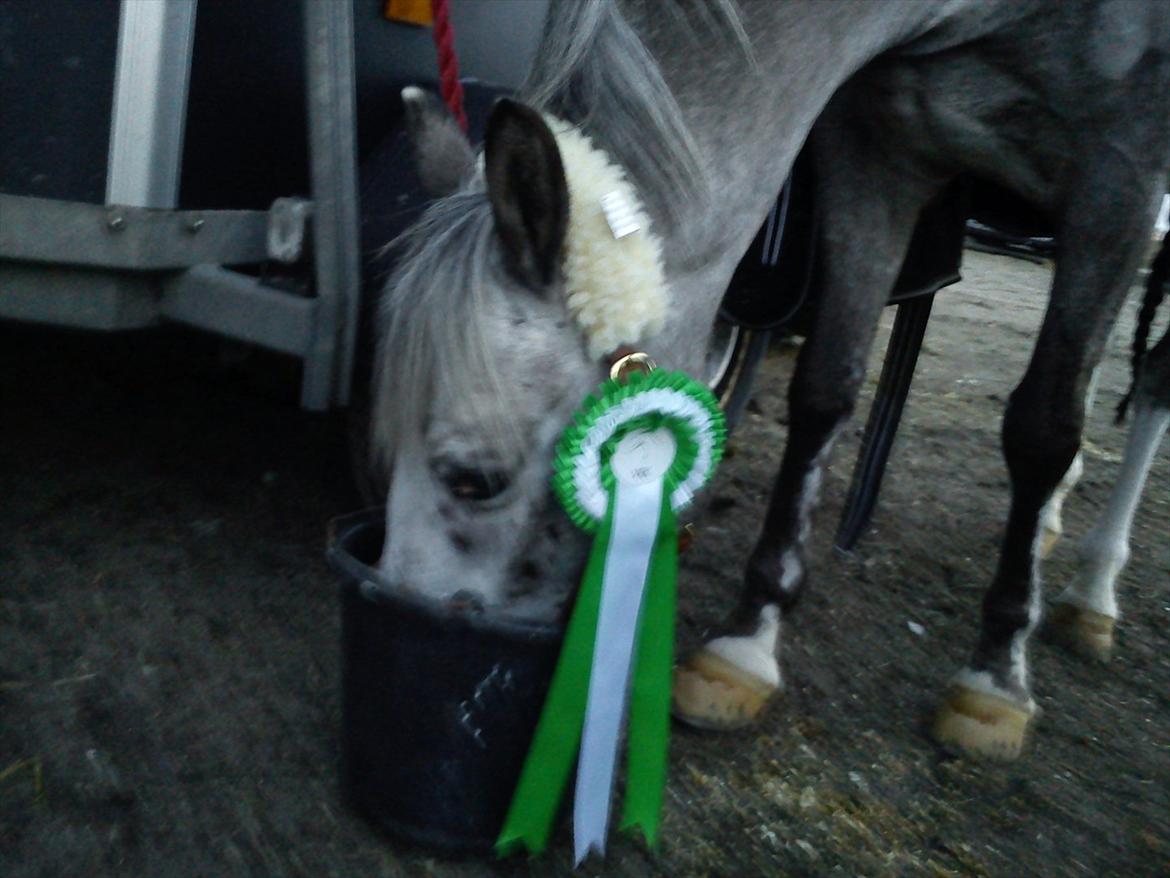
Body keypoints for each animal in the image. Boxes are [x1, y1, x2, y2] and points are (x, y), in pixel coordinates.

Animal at [371, 0, 1170, 760]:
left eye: (474, 480)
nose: (418, 654)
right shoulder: (880, 149)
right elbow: (825, 389)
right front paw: (748, 641)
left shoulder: (1121, 172)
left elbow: (1042, 429)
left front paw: (997, 674)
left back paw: (1093, 594)